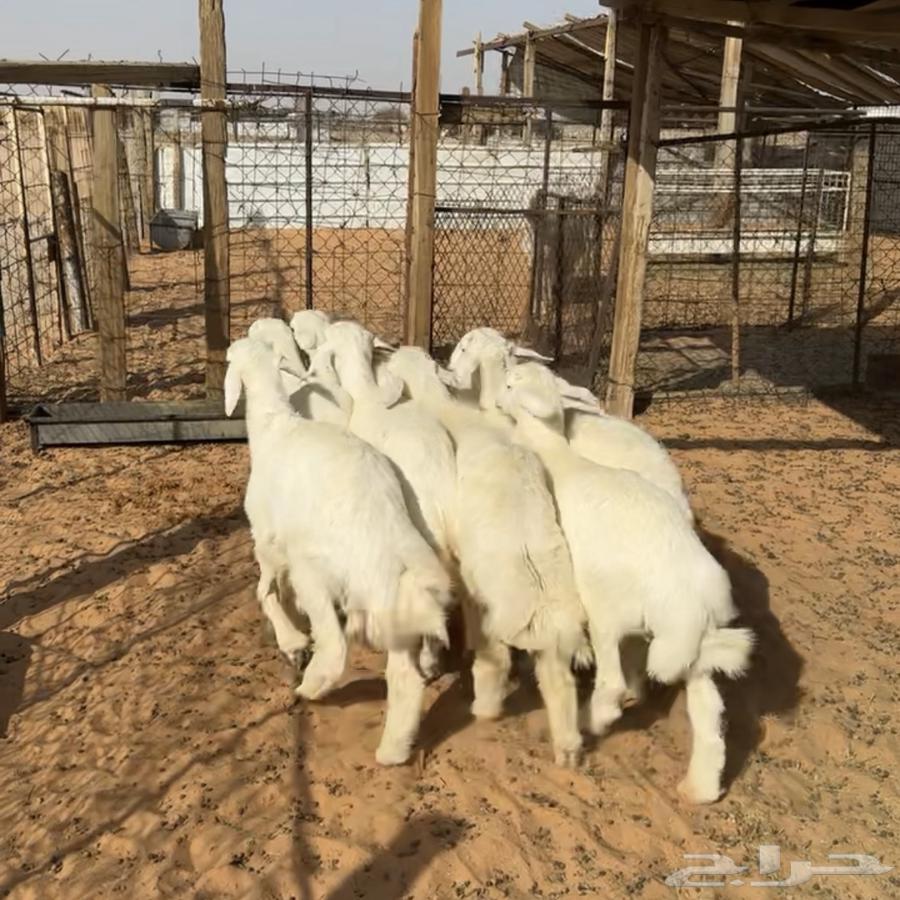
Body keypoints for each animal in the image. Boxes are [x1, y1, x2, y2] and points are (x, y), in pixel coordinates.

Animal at [225, 336, 452, 765]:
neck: (274, 425)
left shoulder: (267, 539)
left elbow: (265, 590)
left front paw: (292, 643)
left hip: (316, 573)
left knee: (334, 648)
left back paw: (309, 688)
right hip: (400, 593)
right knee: (404, 676)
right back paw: (394, 748)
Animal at [385, 345, 589, 767]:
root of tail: (540, 604)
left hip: (494, 611)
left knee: (496, 660)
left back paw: (485, 707)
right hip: (555, 642)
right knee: (560, 684)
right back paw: (568, 749)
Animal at [499, 361, 754, 803]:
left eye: (512, 384)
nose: (497, 396)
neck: (558, 456)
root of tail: (690, 604)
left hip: (609, 612)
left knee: (613, 684)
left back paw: (592, 720)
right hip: (695, 649)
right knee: (710, 715)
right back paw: (699, 787)